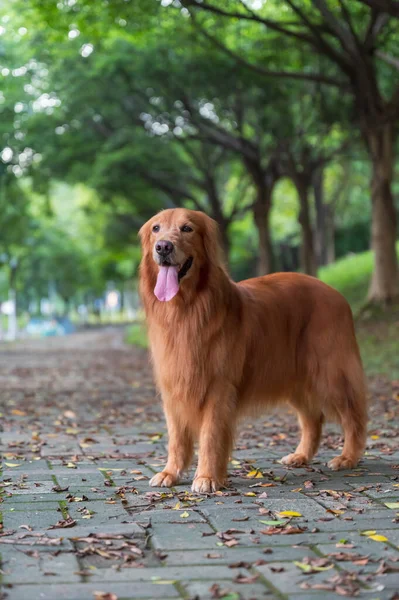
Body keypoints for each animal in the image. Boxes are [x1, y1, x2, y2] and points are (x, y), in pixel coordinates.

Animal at [140, 207, 368, 492]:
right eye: (156, 229)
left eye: (187, 228)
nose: (163, 247)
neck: (186, 310)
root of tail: (336, 293)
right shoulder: (174, 388)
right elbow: (176, 438)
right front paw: (170, 472)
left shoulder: (218, 388)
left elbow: (210, 436)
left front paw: (207, 477)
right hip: (295, 378)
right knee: (313, 419)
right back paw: (301, 455)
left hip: (330, 374)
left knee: (354, 417)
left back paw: (348, 457)